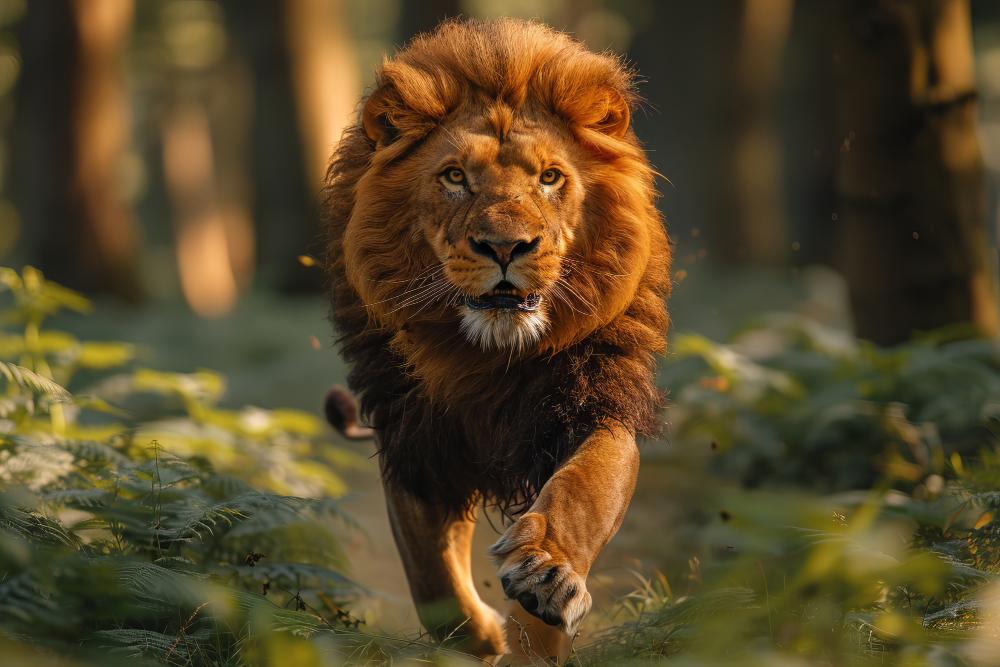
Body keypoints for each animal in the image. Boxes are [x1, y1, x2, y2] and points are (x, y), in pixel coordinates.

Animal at [322, 18, 671, 661]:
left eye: (550, 177)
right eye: (455, 177)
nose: (506, 248)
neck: (490, 356)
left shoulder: (594, 403)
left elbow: (583, 493)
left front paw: (547, 584)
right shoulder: (415, 440)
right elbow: (432, 579)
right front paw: (483, 635)